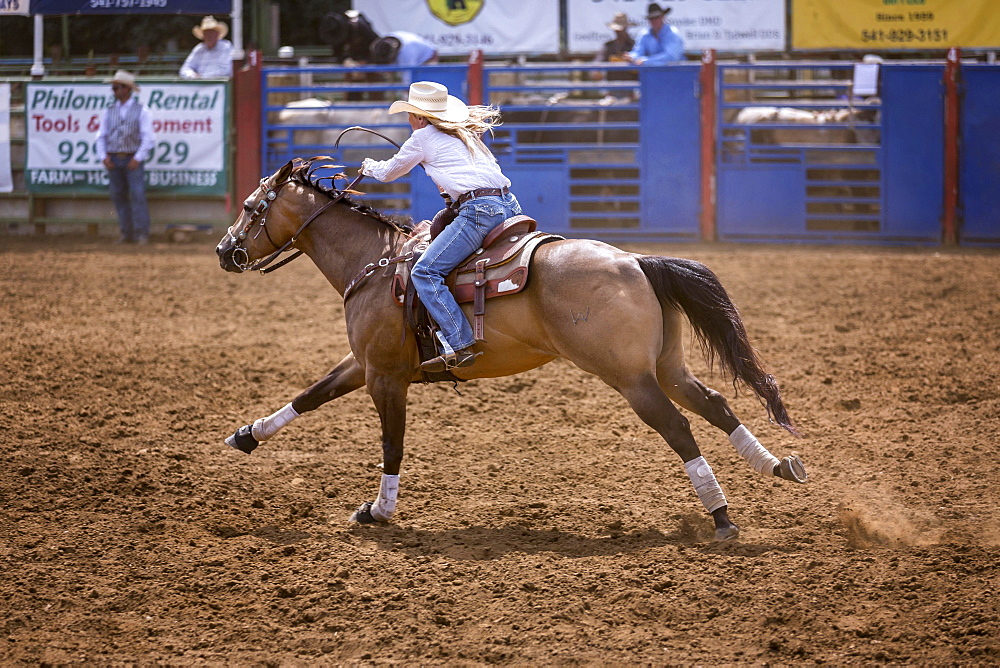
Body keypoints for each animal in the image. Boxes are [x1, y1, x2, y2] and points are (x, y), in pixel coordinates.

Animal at [217, 158, 804, 544]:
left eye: (248, 206)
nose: (225, 252)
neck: (375, 263)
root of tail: (636, 260)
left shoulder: (385, 376)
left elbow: (391, 445)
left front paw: (377, 512)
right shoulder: (364, 364)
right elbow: (310, 395)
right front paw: (245, 436)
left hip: (632, 380)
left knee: (679, 428)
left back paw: (722, 517)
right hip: (666, 366)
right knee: (714, 404)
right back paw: (778, 467)